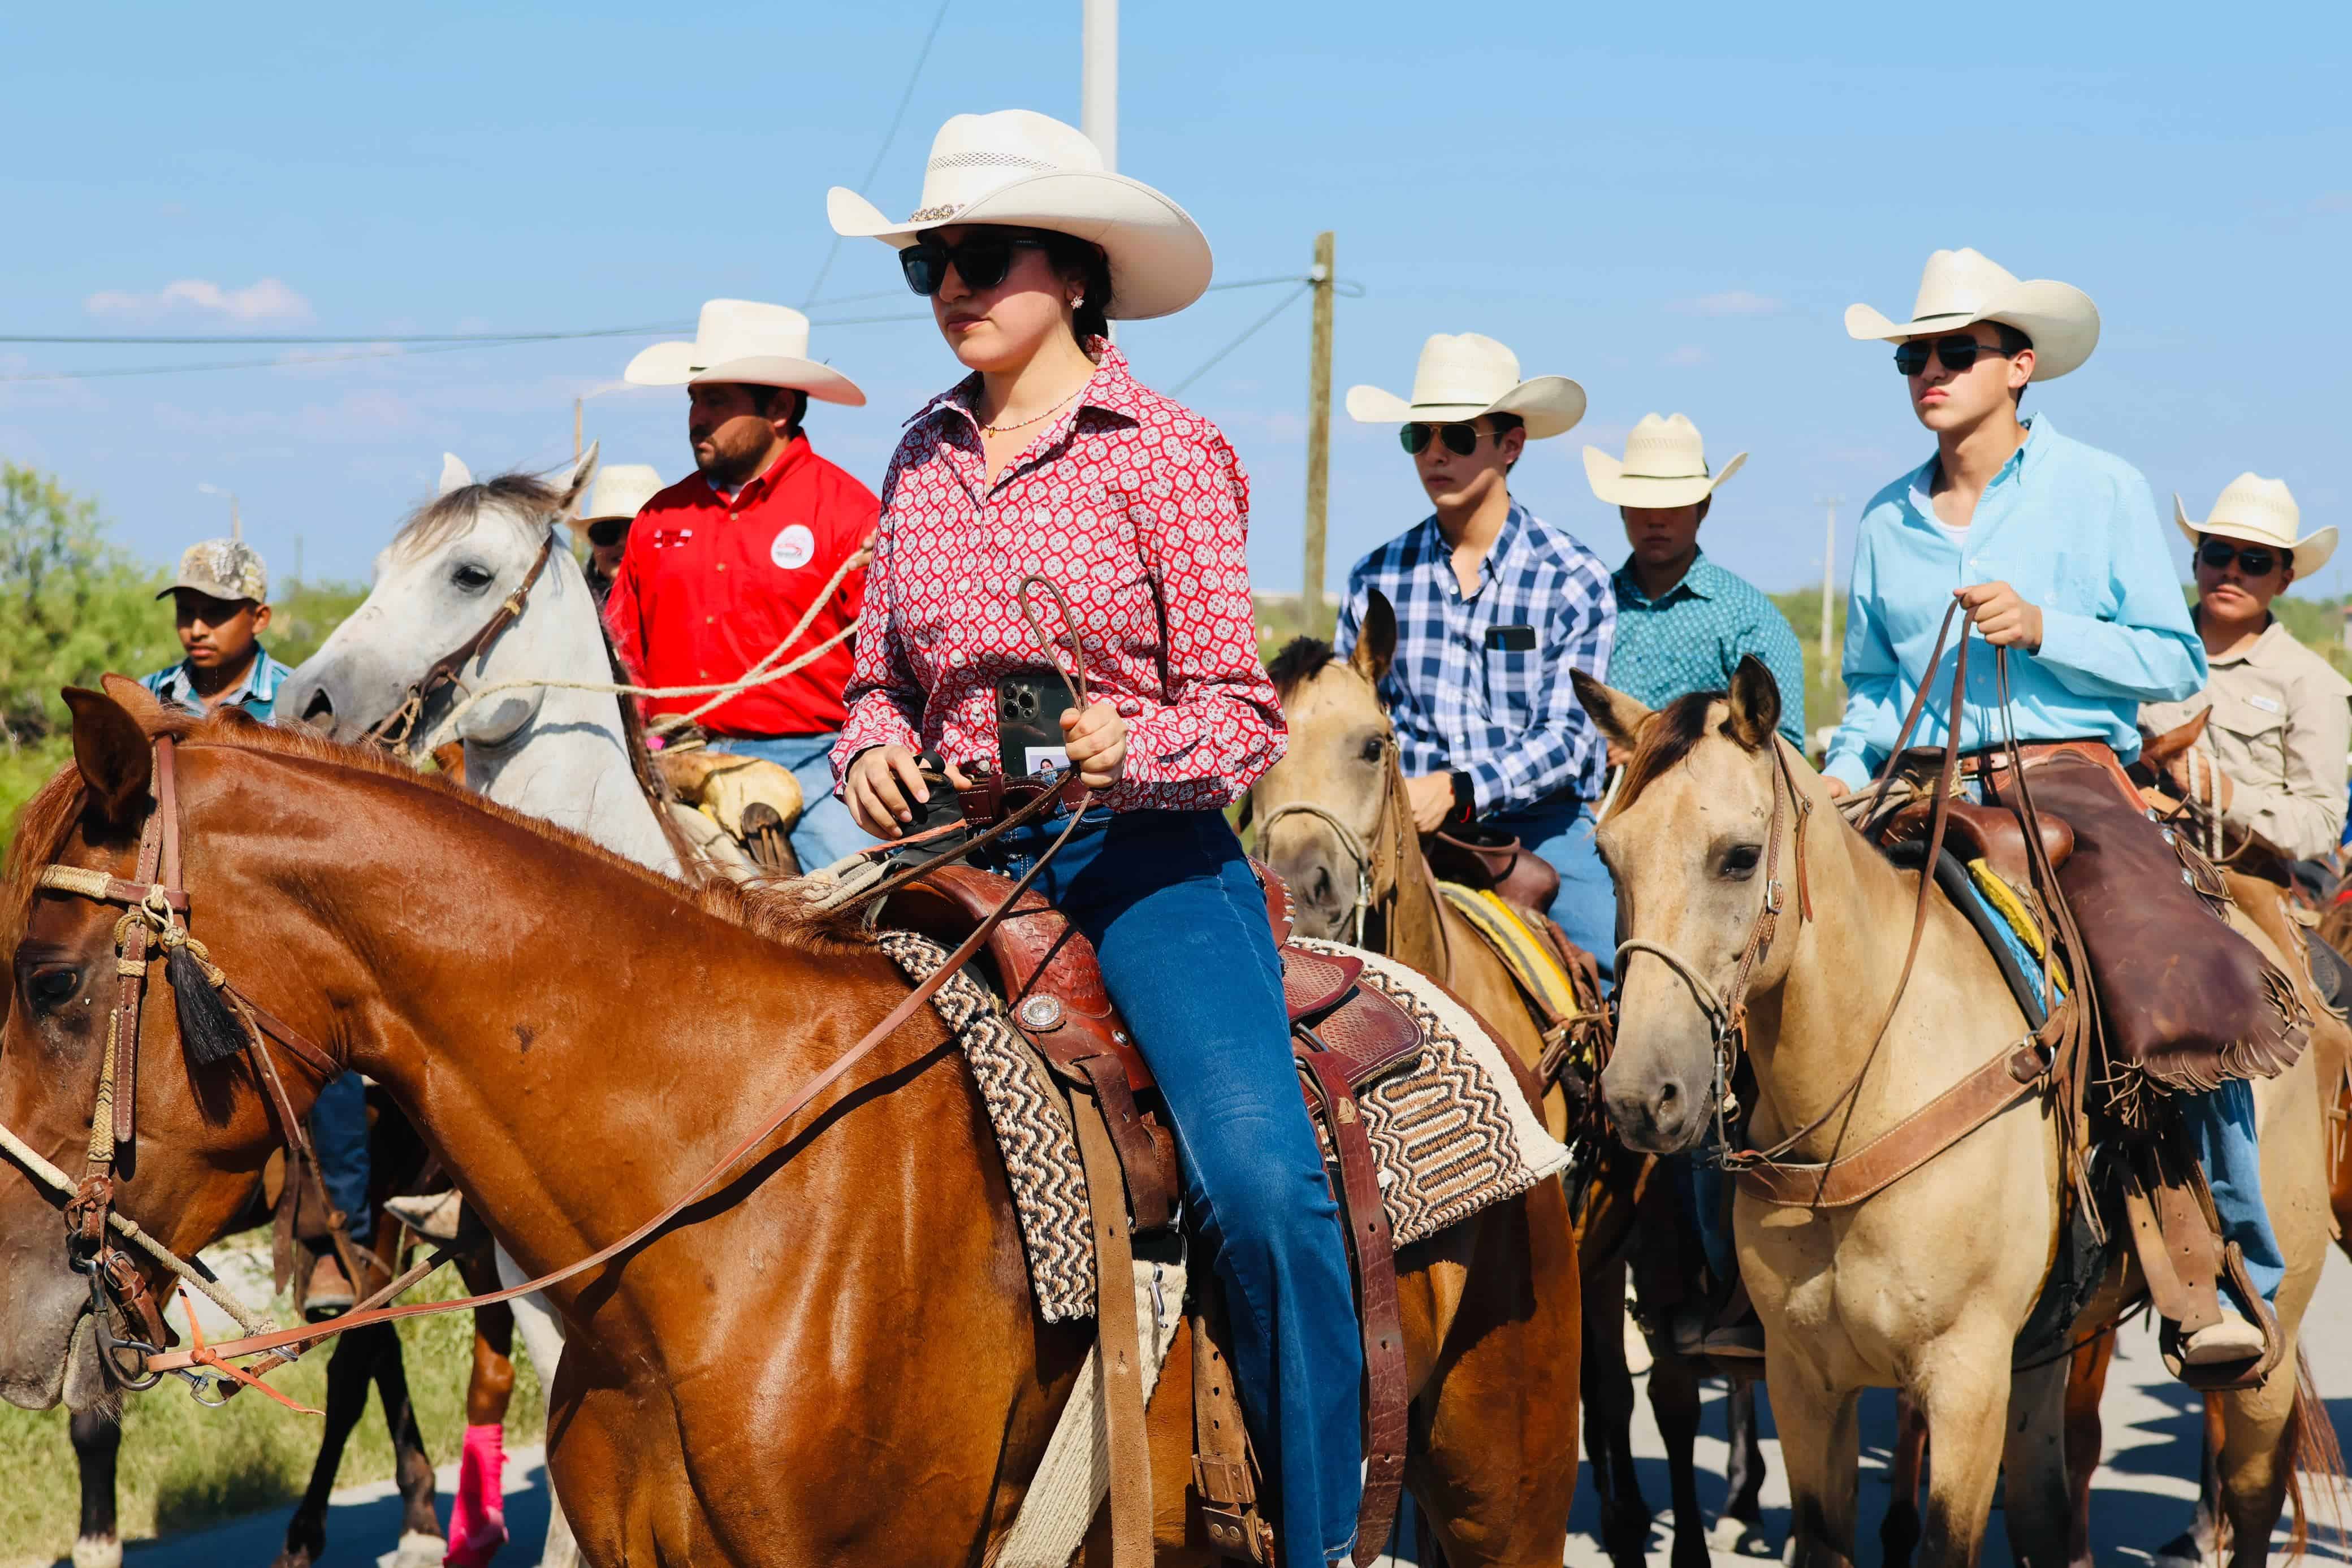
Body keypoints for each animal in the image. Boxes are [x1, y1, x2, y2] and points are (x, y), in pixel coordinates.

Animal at [1580, 658, 2333, 1568]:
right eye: (1607, 857)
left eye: (1738, 856)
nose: (1638, 1094)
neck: (1862, 1096)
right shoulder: (1804, 1381)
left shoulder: (1963, 1378)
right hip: (2045, 1347)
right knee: (2046, 1507)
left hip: (2274, 1327)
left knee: (2252, 1488)